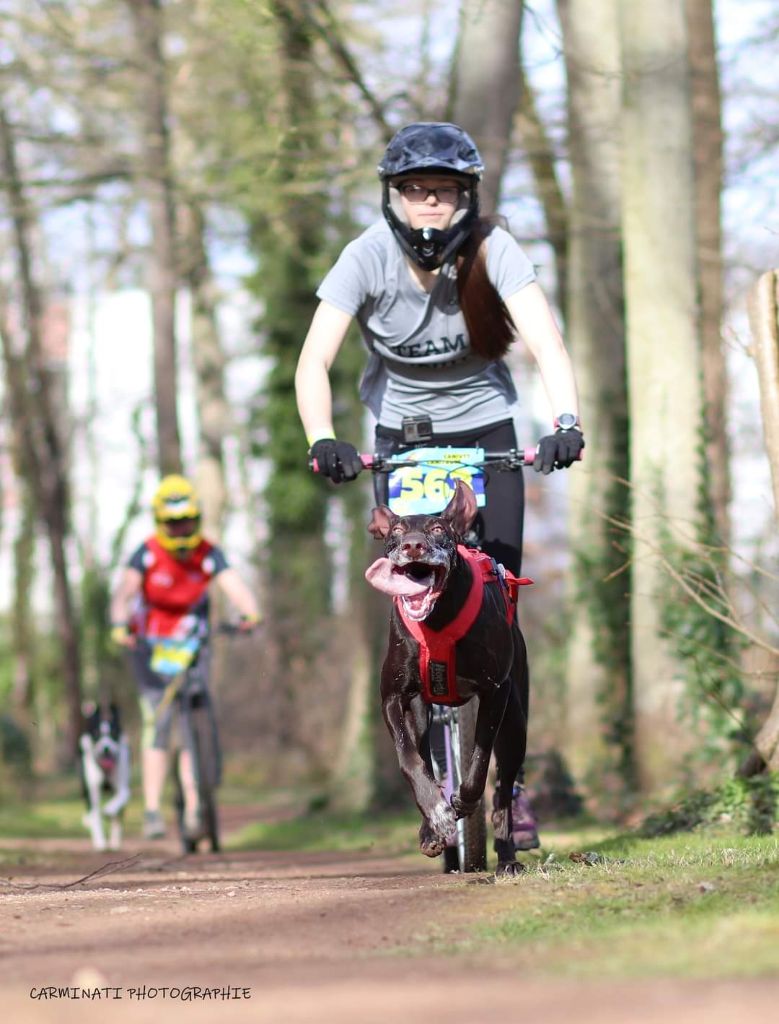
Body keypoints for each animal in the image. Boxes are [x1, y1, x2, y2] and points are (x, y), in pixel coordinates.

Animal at [78, 700, 130, 851]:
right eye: (96, 734)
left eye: (113, 733)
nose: (106, 748)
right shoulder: (92, 791)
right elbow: (96, 815)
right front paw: (100, 842)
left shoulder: (122, 785)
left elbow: (122, 795)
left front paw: (109, 809)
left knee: (118, 817)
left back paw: (115, 841)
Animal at [364, 477, 528, 872]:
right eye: (396, 530)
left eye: (438, 529)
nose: (413, 545)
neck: (436, 620)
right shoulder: (393, 698)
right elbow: (410, 760)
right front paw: (436, 815)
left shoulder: (495, 692)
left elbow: (478, 763)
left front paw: (463, 803)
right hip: (422, 711)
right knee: (424, 755)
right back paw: (432, 828)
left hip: (516, 724)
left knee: (503, 791)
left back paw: (507, 855)